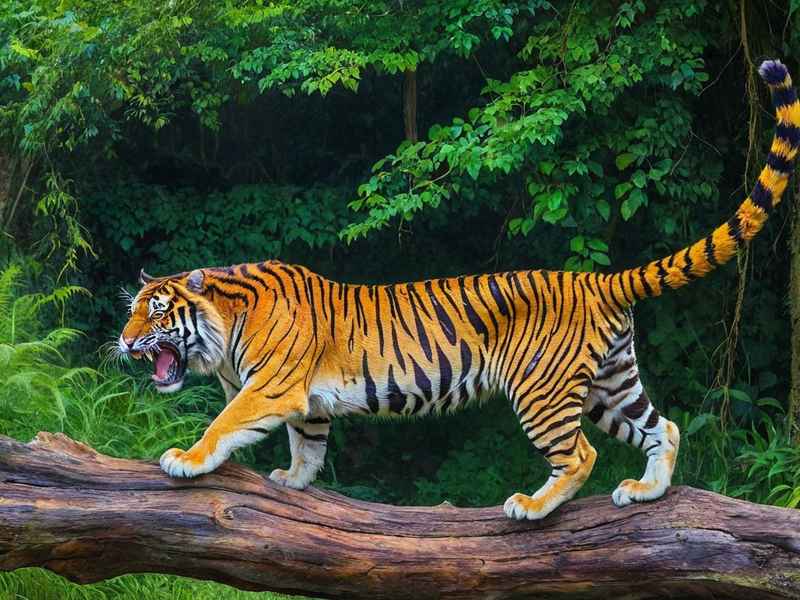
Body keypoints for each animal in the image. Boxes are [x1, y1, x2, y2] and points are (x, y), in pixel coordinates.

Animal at [118, 60, 799, 520]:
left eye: (155, 312)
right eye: (132, 312)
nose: (122, 344)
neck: (223, 332)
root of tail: (594, 276)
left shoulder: (270, 387)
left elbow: (223, 424)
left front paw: (187, 459)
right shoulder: (304, 403)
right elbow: (309, 445)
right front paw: (292, 481)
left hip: (542, 389)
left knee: (580, 454)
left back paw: (532, 505)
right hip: (613, 382)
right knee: (666, 428)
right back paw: (645, 490)